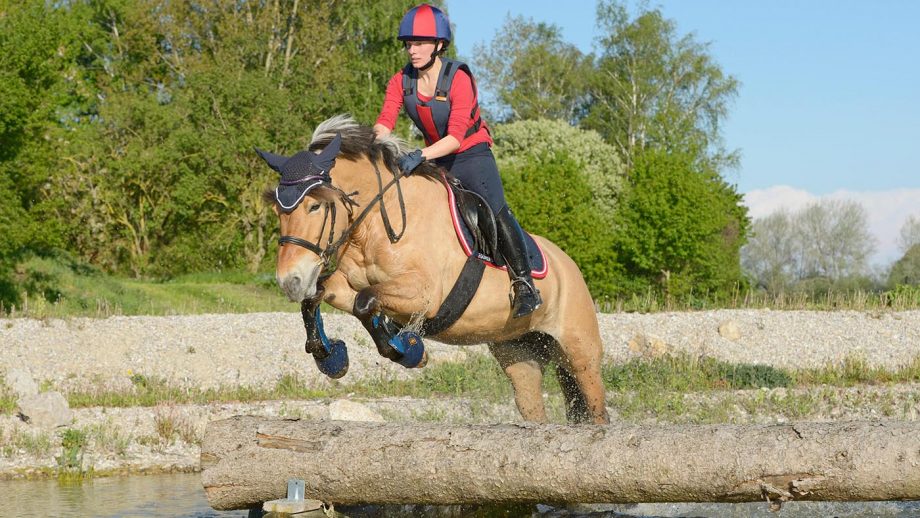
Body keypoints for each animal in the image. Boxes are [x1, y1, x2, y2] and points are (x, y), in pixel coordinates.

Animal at [258, 116, 612, 424]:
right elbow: (325, 297)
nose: (289, 281)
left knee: (596, 408)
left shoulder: (425, 295)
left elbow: (366, 302)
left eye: (315, 205)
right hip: (519, 352)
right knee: (533, 407)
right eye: (278, 210)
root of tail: (569, 265)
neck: (379, 226)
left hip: (580, 352)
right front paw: (329, 356)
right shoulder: (347, 285)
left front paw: (408, 350)